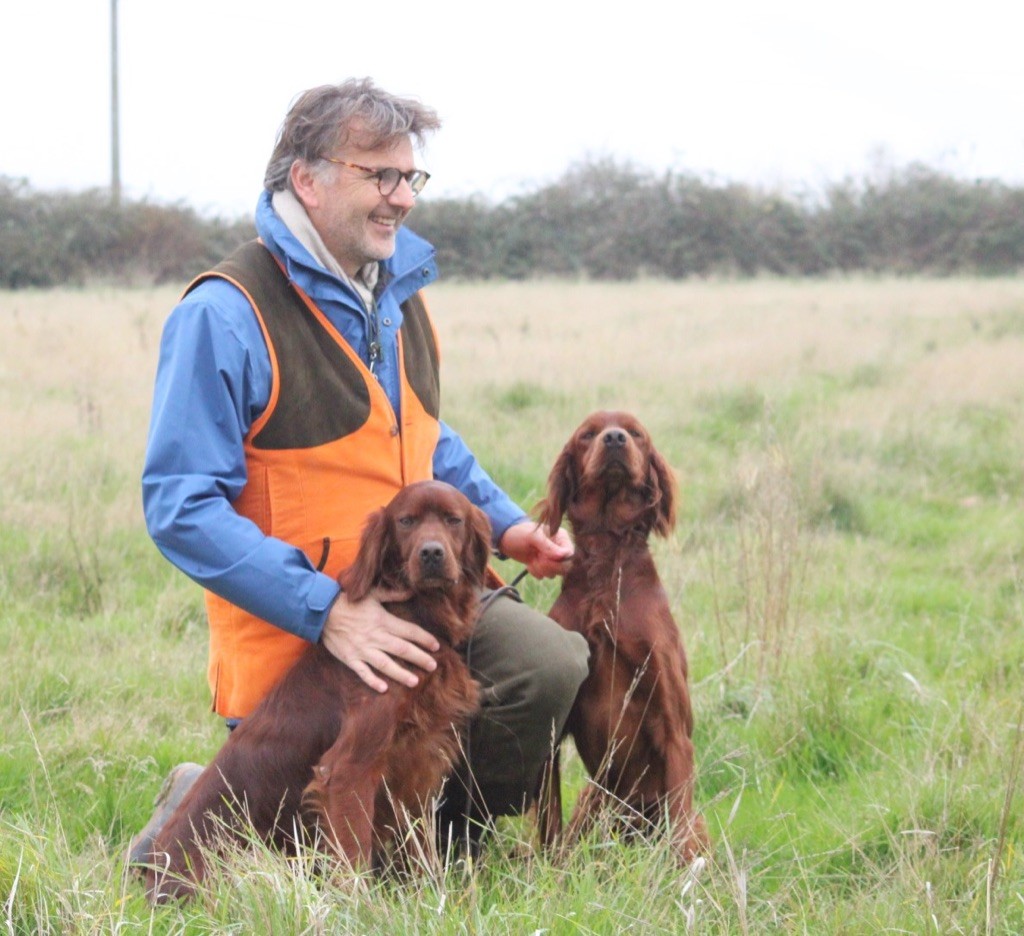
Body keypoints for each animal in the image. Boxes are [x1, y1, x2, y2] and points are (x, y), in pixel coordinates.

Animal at [145, 481, 491, 897]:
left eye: (453, 520)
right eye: (406, 521)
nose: (431, 554)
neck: (418, 614)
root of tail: (150, 883)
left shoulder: (419, 764)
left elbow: (421, 847)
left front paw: (433, 896)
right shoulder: (346, 770)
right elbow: (352, 855)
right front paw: (362, 907)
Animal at [536, 409, 712, 860]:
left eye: (636, 433)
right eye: (587, 435)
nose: (615, 439)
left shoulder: (674, 731)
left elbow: (680, 830)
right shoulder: (551, 736)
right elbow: (548, 820)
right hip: (594, 800)